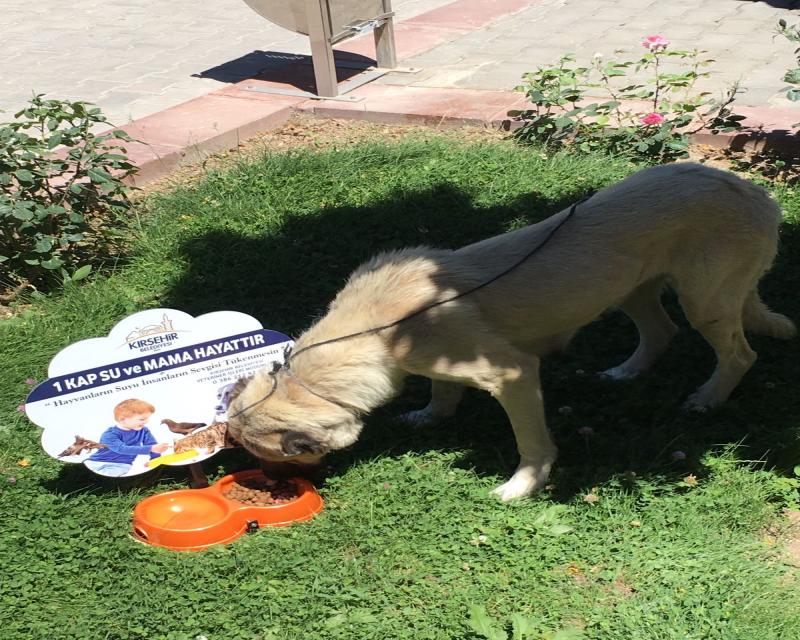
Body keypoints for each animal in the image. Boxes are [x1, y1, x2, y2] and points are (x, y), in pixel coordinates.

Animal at [226, 163, 795, 501]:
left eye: (271, 457)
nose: (277, 488)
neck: (376, 328)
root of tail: (752, 190)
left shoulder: (513, 375)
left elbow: (532, 443)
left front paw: (524, 486)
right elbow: (442, 390)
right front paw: (430, 416)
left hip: (706, 302)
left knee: (738, 355)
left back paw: (707, 398)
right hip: (628, 287)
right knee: (660, 331)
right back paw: (626, 373)